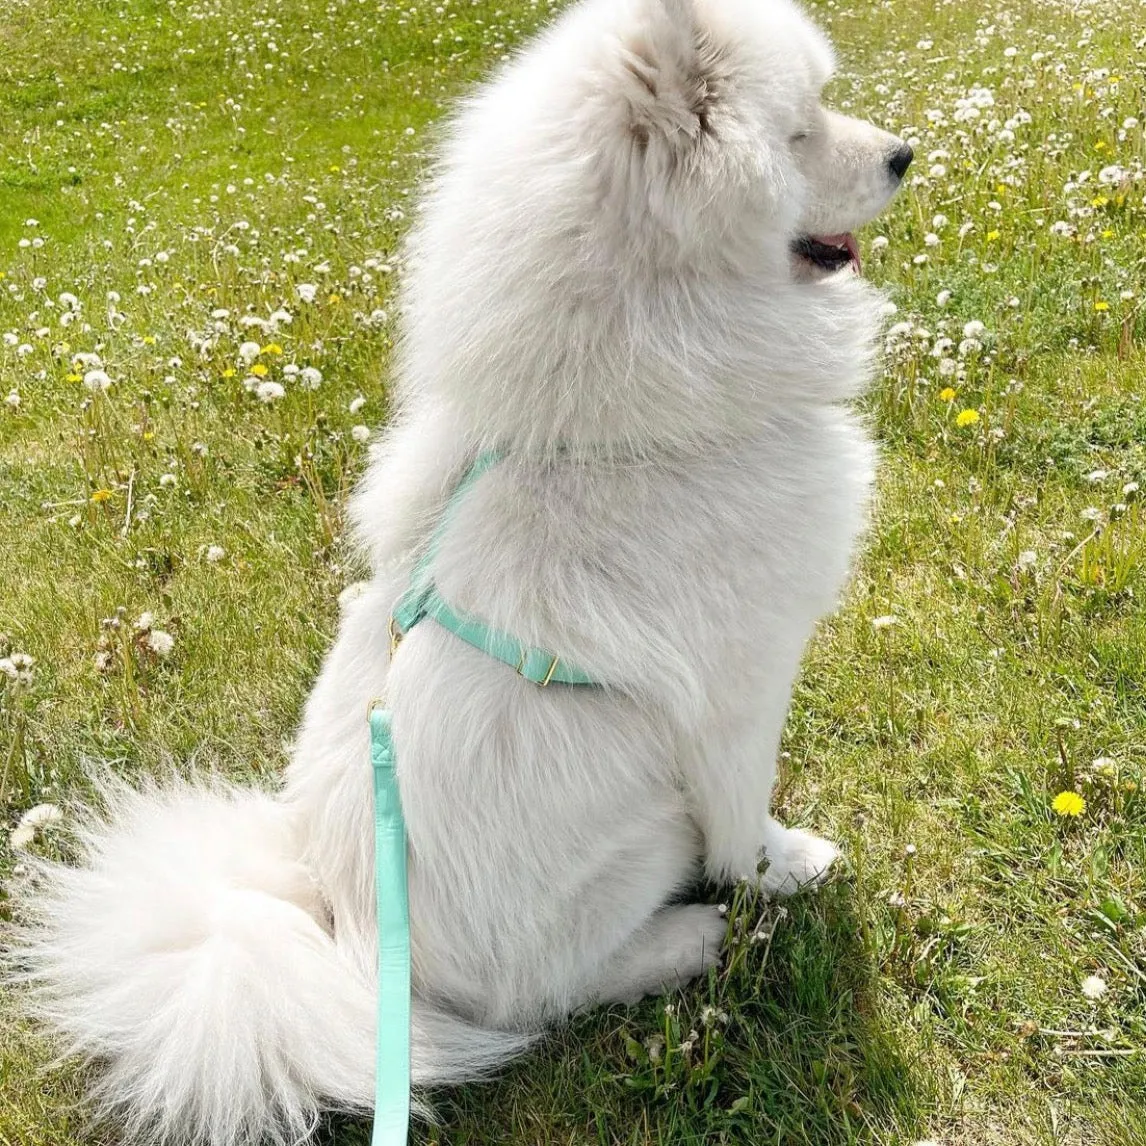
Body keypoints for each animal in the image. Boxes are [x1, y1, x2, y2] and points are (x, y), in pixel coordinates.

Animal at [11, 0, 912, 1141]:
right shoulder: (739, 692)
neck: (607, 431)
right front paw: (787, 868)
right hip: (639, 831)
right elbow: (745, 823)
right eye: (801, 131)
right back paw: (685, 942)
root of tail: (357, 951)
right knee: (550, 993)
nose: (905, 154)